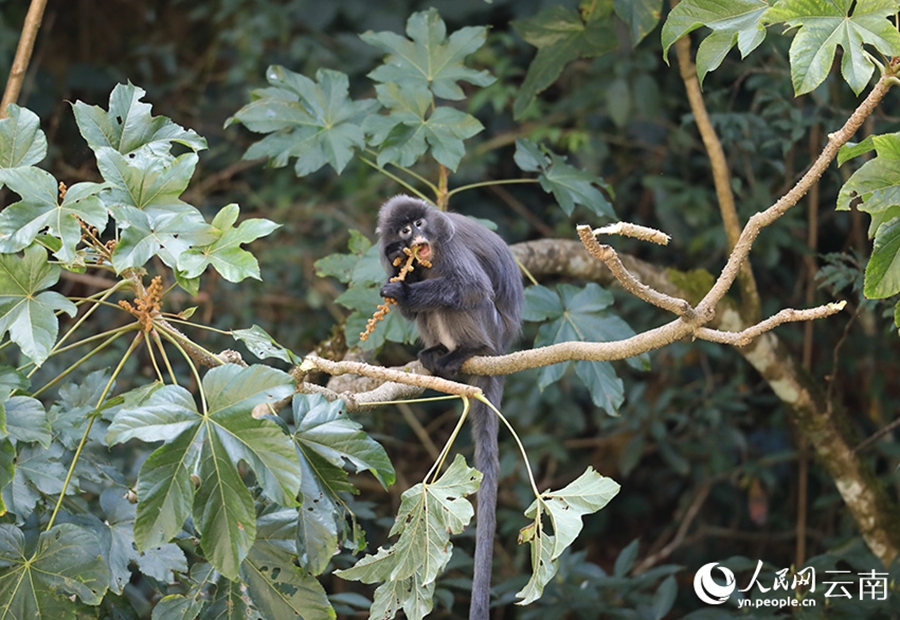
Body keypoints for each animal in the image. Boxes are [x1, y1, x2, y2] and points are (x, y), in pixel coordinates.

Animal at [377, 195, 523, 620]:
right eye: (403, 229)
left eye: (419, 223)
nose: (415, 237)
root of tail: (504, 347)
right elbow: (407, 304)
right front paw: (398, 264)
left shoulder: (453, 248)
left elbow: (471, 287)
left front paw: (407, 292)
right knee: (433, 310)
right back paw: (437, 353)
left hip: (491, 329)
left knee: (462, 298)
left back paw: (470, 351)